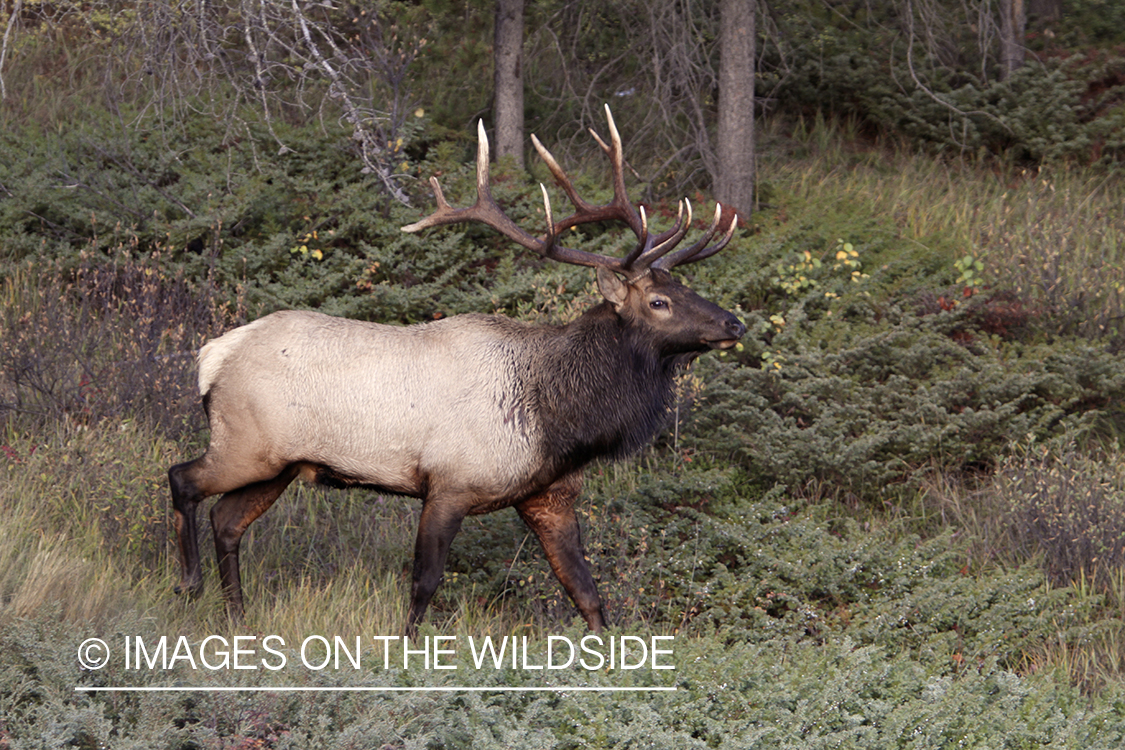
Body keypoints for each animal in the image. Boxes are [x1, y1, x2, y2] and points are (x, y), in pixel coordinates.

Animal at [168, 105, 747, 634]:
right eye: (657, 302)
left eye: (684, 287)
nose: (734, 322)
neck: (558, 419)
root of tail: (212, 354)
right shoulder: (449, 483)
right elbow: (424, 583)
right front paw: (405, 649)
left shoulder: (549, 496)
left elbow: (586, 591)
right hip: (245, 444)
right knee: (183, 480)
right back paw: (189, 585)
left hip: (279, 464)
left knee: (226, 521)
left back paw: (237, 617)